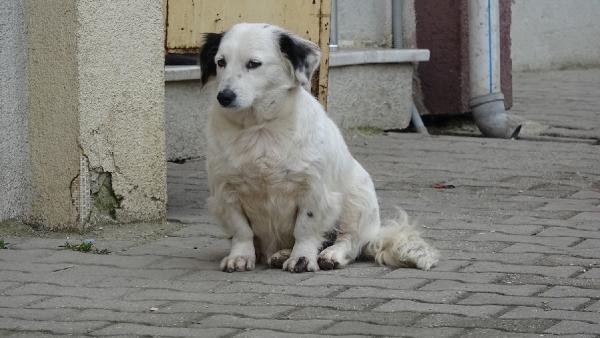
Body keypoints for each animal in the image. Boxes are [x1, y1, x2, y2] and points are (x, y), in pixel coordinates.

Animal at [199, 23, 438, 272]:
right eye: (221, 62)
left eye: (253, 64)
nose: (224, 96)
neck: (260, 128)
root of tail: (374, 233)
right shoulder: (225, 192)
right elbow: (241, 230)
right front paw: (240, 256)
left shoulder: (313, 190)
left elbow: (305, 228)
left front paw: (302, 258)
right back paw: (281, 253)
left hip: (357, 200)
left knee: (350, 242)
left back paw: (331, 254)